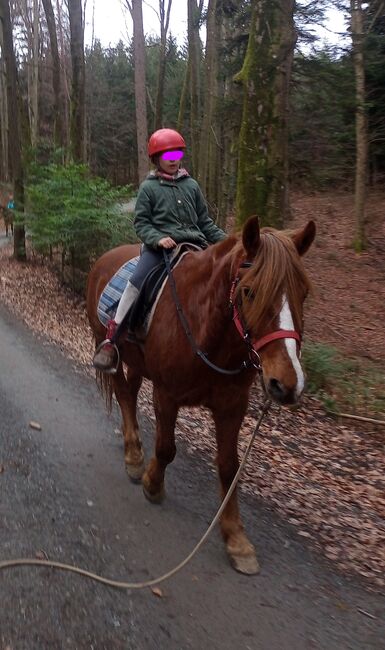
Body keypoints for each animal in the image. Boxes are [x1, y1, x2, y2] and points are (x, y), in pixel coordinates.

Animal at [87, 218, 316, 572]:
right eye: (249, 291)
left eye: (303, 292)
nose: (287, 383)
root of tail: (105, 258)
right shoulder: (166, 394)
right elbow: (166, 448)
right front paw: (153, 484)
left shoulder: (232, 407)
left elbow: (229, 467)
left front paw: (236, 538)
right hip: (108, 344)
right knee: (124, 394)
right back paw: (134, 458)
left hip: (137, 361)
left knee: (131, 393)